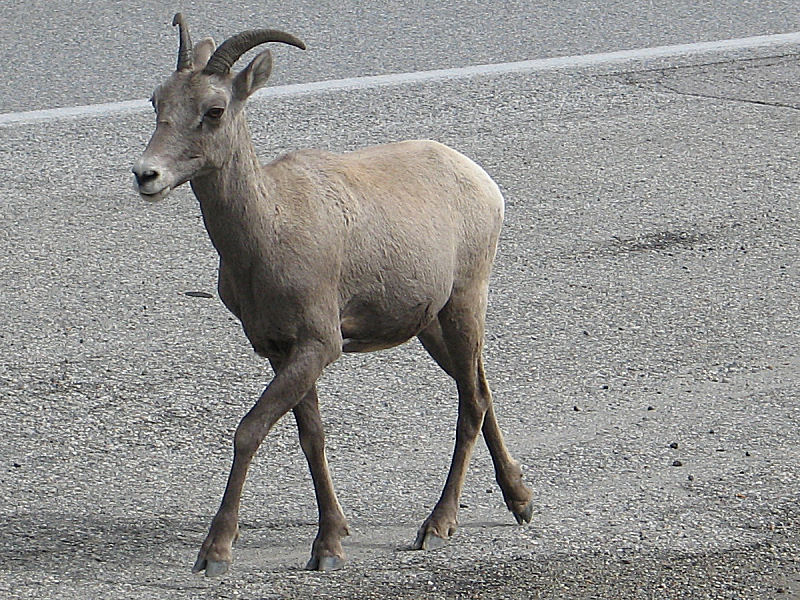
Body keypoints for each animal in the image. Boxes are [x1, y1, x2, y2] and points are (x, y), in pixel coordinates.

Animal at [133, 15, 532, 576]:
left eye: (213, 111)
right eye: (157, 101)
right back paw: (521, 501)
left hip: (465, 302)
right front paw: (330, 541)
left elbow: (249, 430)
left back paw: (436, 527)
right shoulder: (281, 351)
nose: (146, 175)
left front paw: (215, 553)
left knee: (472, 399)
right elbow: (312, 437)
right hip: (428, 325)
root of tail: (480, 180)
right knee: (478, 385)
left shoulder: (319, 345)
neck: (269, 231)